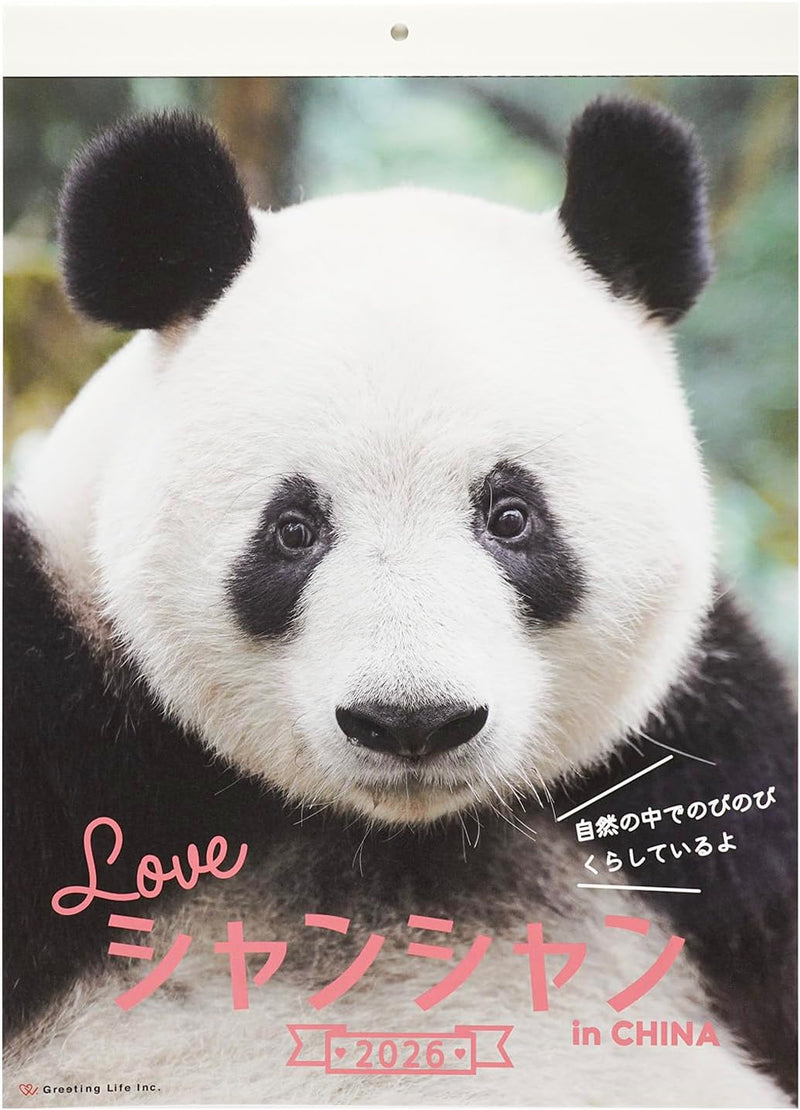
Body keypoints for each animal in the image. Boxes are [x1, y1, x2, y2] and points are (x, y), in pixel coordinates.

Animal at [3, 99, 796, 1107]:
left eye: (511, 517)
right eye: (294, 530)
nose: (412, 722)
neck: (395, 841)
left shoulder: (719, 792)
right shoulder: (55, 706)